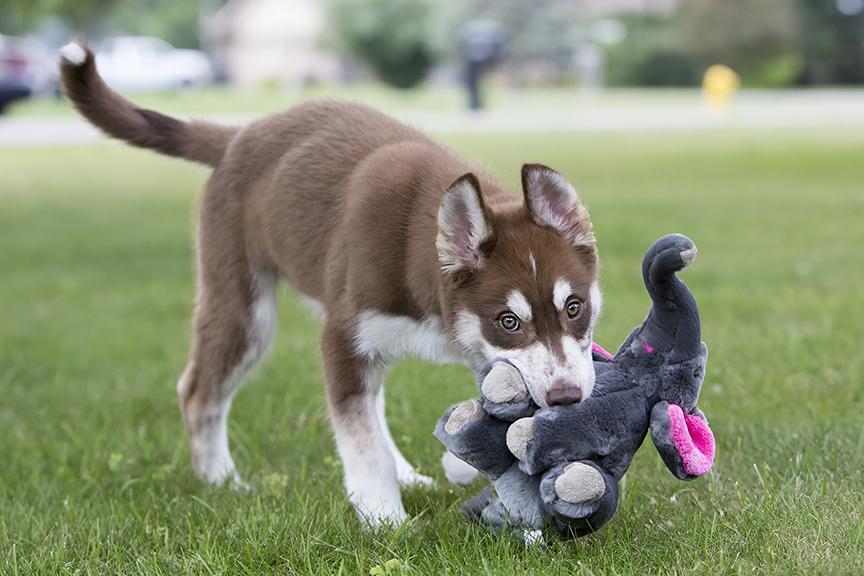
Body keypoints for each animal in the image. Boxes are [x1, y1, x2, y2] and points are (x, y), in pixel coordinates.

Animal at [59, 40, 600, 528]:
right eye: (509, 321)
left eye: (575, 308)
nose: (567, 398)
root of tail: (240, 134)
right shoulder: (343, 338)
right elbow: (362, 443)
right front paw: (384, 520)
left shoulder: (475, 354)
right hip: (244, 311)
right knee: (199, 392)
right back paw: (222, 481)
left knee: (371, 400)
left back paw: (408, 474)